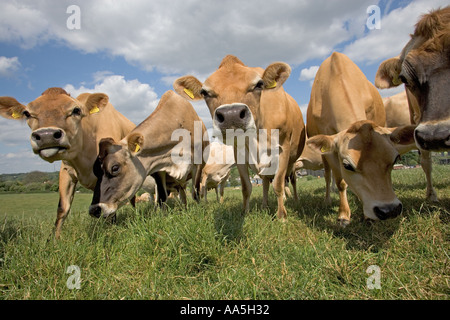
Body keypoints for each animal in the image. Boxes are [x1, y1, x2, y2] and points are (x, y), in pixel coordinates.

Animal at [0, 87, 138, 238]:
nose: (46, 135)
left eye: (76, 110)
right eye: (27, 113)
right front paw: (55, 239)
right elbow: (62, 208)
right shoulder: (66, 171)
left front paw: (111, 233)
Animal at [89, 91, 208, 219]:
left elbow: (196, 193)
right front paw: (163, 216)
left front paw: (200, 211)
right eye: (95, 171)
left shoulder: (198, 164)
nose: (94, 210)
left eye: (115, 167)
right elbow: (162, 197)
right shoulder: (160, 168)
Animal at [172, 55, 306, 220]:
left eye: (259, 85)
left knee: (291, 180)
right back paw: (264, 205)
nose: (231, 115)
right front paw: (245, 212)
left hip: (292, 163)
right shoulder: (239, 154)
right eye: (204, 92)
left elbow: (278, 184)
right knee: (265, 181)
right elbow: (246, 187)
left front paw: (281, 216)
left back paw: (295, 200)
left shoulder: (283, 148)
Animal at [308, 52, 384, 215]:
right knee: (327, 174)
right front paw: (343, 214)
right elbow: (340, 180)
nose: (389, 210)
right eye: (348, 165)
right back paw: (328, 200)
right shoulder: (328, 143)